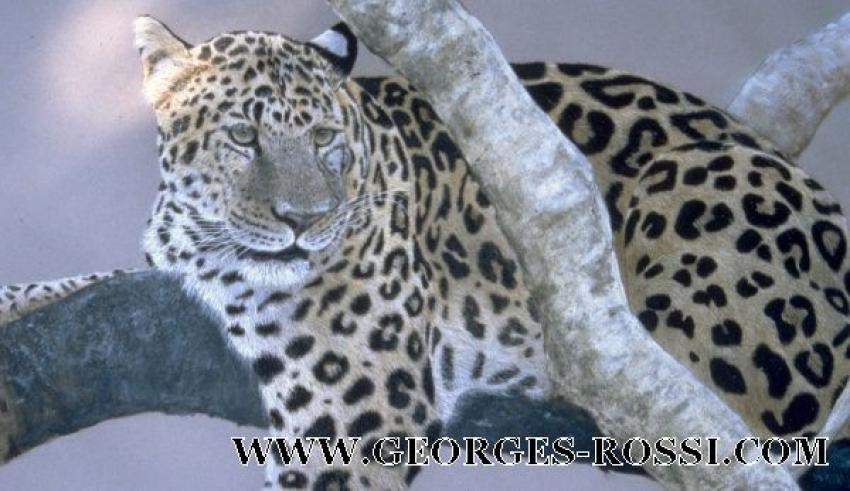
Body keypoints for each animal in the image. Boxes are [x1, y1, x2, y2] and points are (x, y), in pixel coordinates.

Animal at [3, 14, 850, 490]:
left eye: (324, 137)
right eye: (242, 135)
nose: (305, 221)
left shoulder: (355, 417)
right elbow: (73, 277)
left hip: (694, 179)